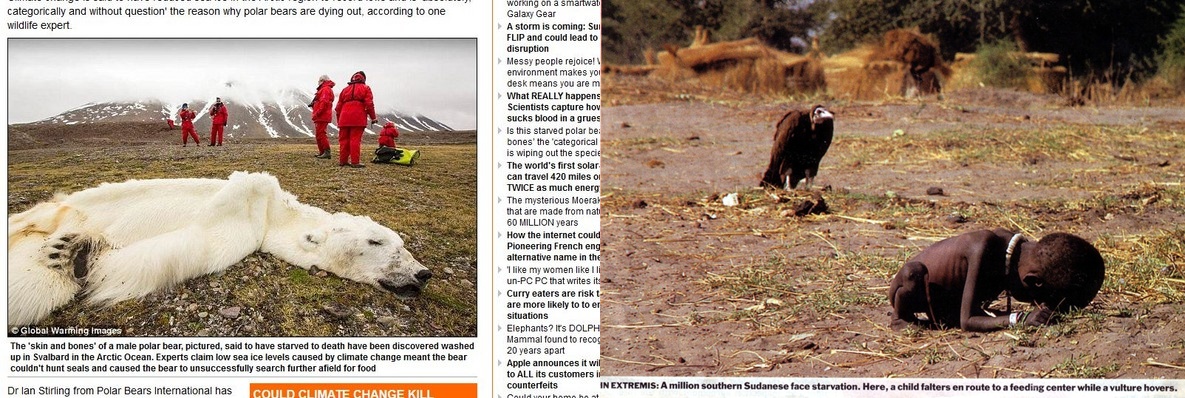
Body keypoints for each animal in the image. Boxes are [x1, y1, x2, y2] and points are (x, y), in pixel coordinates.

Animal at [5, 171, 431, 326]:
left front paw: (84, 256)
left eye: (401, 243)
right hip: (58, 209)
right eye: (377, 241)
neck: (272, 214)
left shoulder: (241, 233)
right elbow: (239, 189)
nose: (423, 273)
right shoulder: (248, 208)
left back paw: (67, 253)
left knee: (38, 284)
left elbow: (179, 249)